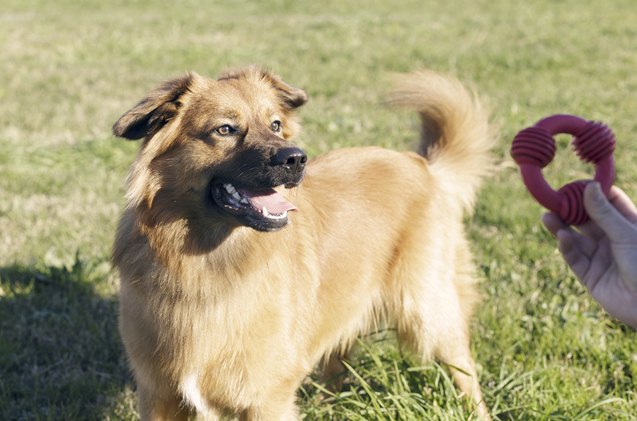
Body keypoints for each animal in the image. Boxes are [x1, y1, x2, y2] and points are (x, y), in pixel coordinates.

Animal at [112, 66, 494, 420]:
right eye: (225, 129)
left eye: (276, 124)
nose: (296, 158)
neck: (206, 265)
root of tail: (423, 166)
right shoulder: (158, 395)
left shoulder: (266, 400)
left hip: (428, 311)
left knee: (464, 369)